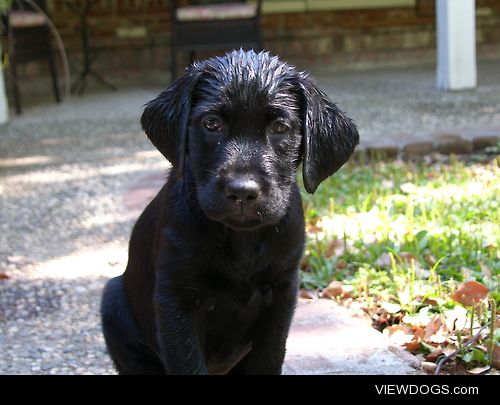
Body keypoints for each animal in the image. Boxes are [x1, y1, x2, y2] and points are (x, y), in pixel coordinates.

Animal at [100, 50, 360, 376]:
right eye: (211, 123)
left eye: (280, 128)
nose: (242, 192)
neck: (240, 239)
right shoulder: (176, 302)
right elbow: (188, 365)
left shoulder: (282, 293)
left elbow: (267, 359)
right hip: (113, 305)